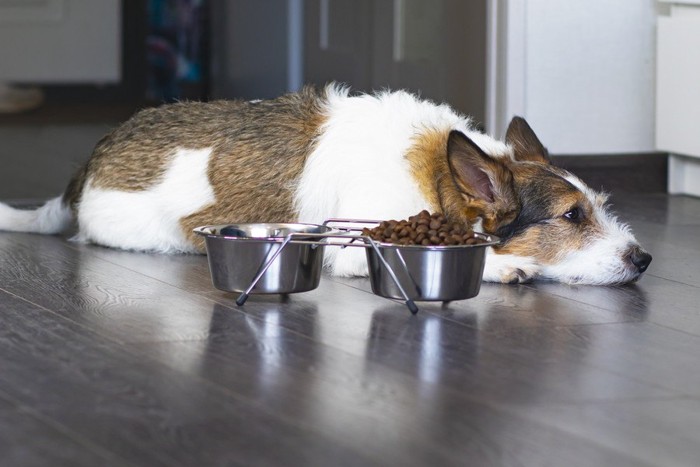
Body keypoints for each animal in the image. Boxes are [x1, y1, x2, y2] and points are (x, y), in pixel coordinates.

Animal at [0, 84, 652, 286]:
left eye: (597, 206)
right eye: (571, 216)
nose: (643, 259)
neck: (438, 177)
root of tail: (86, 169)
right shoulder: (355, 248)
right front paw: (503, 266)